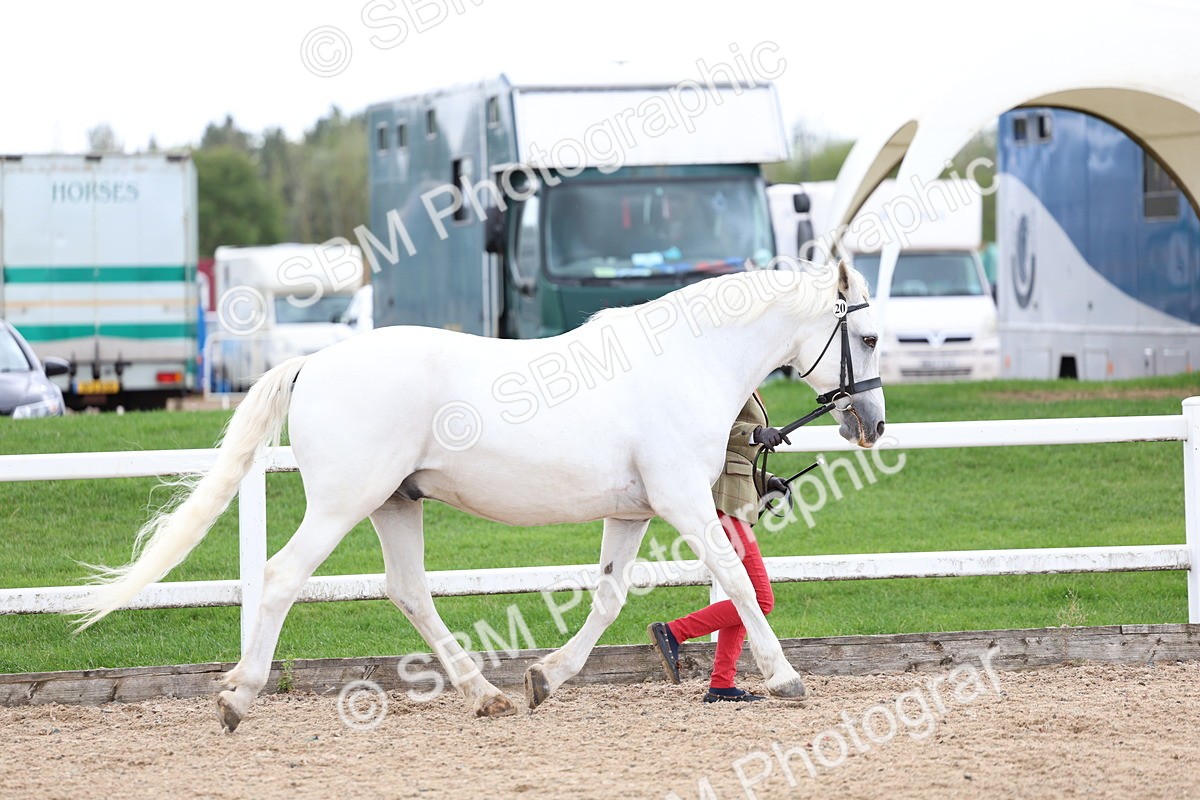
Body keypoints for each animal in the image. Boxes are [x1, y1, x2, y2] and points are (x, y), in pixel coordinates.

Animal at [69, 259, 885, 731]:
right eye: (871, 337)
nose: (871, 423)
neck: (686, 359)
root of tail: (314, 362)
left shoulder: (630, 512)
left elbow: (609, 597)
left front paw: (544, 678)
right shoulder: (684, 501)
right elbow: (738, 586)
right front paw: (786, 678)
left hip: (397, 503)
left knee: (407, 590)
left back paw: (484, 694)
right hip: (343, 503)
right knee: (280, 578)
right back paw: (238, 698)